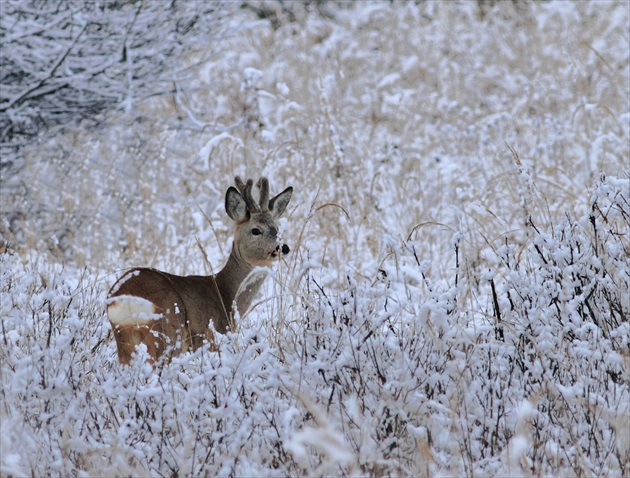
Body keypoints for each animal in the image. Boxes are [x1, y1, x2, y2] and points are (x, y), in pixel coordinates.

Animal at [107, 177, 296, 364]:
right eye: (256, 230)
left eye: (277, 228)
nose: (283, 248)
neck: (226, 294)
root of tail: (124, 297)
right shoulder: (212, 335)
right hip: (167, 332)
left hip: (126, 338)